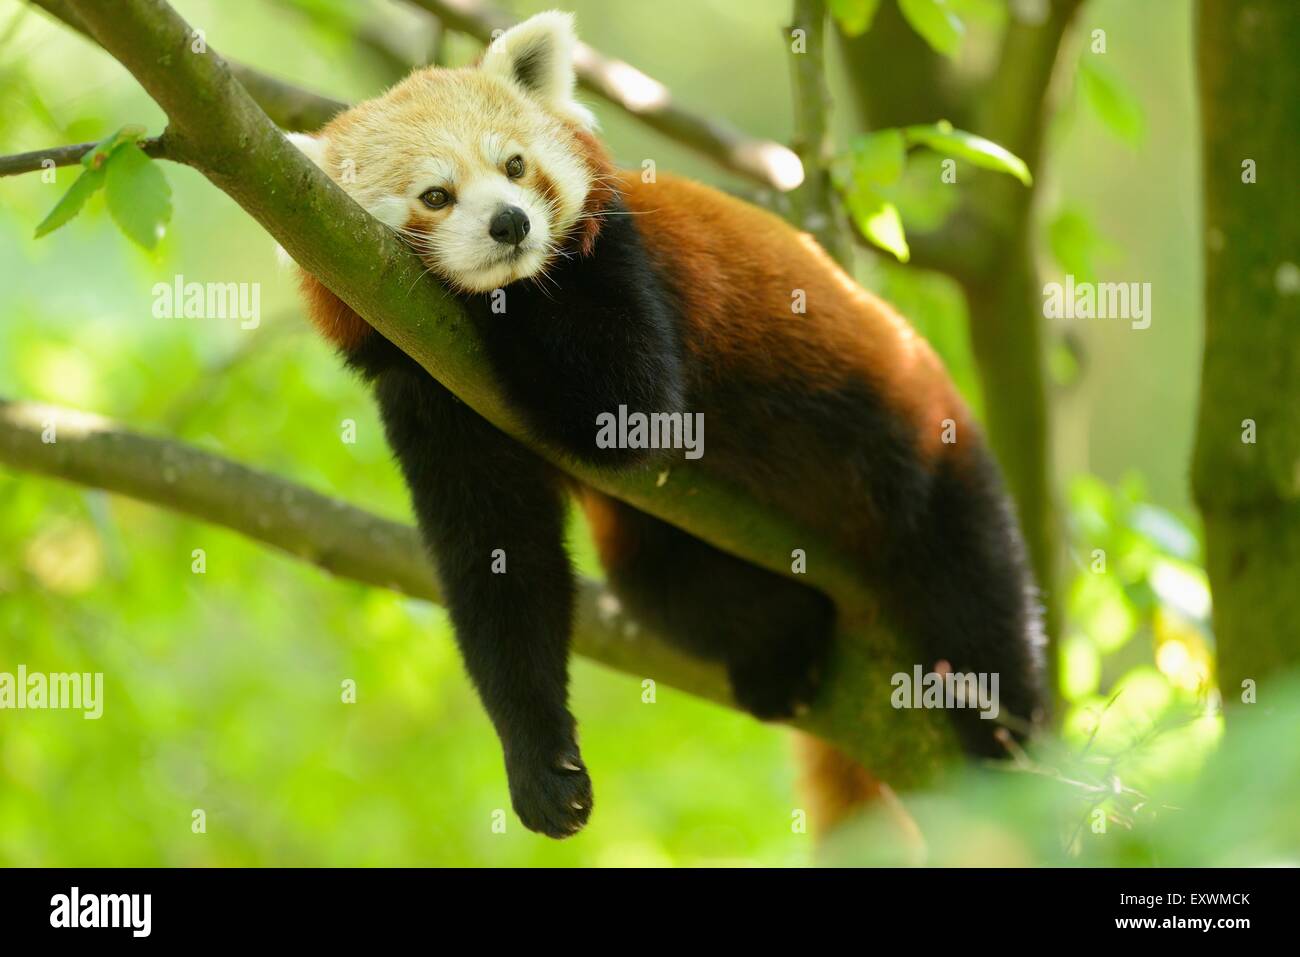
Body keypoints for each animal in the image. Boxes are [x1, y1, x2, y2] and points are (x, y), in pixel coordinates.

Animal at [287, 13, 1045, 837]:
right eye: (436, 194)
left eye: (515, 165)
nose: (511, 223)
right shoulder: (430, 395)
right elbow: (498, 564)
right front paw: (541, 764)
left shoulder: (620, 263)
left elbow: (629, 408)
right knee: (665, 589)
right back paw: (784, 650)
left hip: (923, 453)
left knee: (975, 606)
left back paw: (1005, 747)